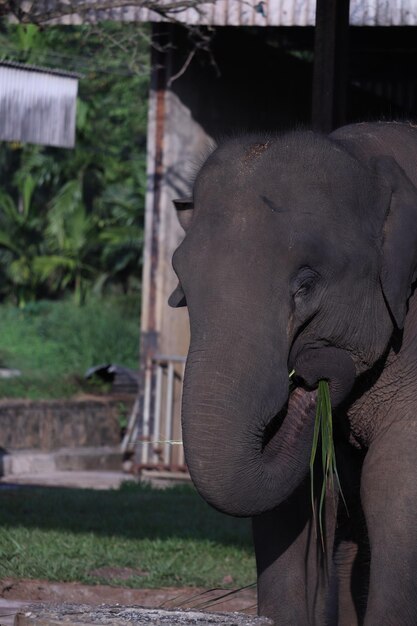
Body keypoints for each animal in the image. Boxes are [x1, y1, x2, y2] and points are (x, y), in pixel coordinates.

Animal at [168, 119, 417, 620]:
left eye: (307, 283)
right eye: (182, 279)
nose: (306, 375)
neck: (370, 156)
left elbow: (393, 480)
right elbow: (294, 501)